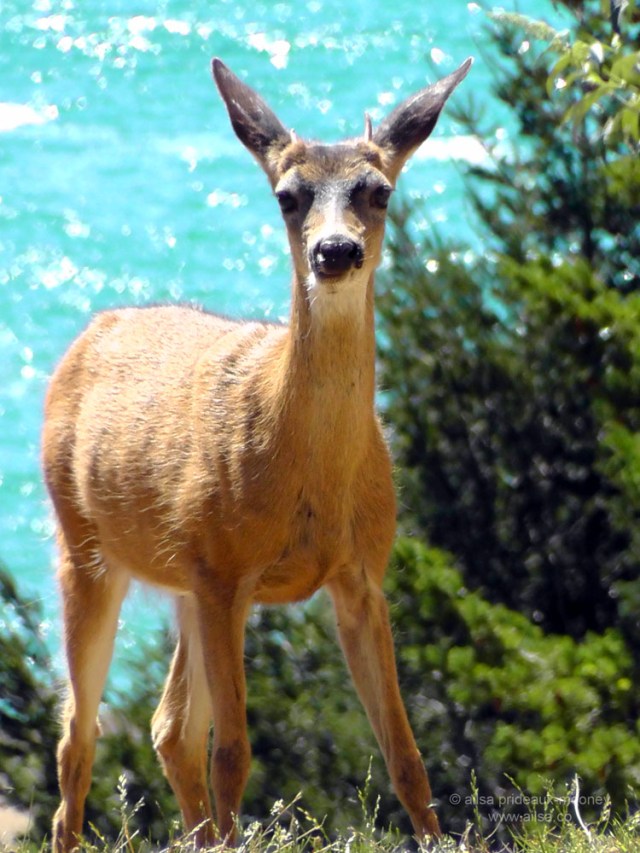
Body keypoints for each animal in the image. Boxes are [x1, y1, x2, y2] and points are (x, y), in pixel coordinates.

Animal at [42, 55, 472, 851]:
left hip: (182, 578)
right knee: (79, 740)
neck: (311, 476)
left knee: (169, 728)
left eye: (379, 191)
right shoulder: (224, 571)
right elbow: (236, 753)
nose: (335, 250)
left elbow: (406, 754)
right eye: (286, 196)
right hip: (84, 545)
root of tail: (92, 330)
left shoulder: (361, 574)